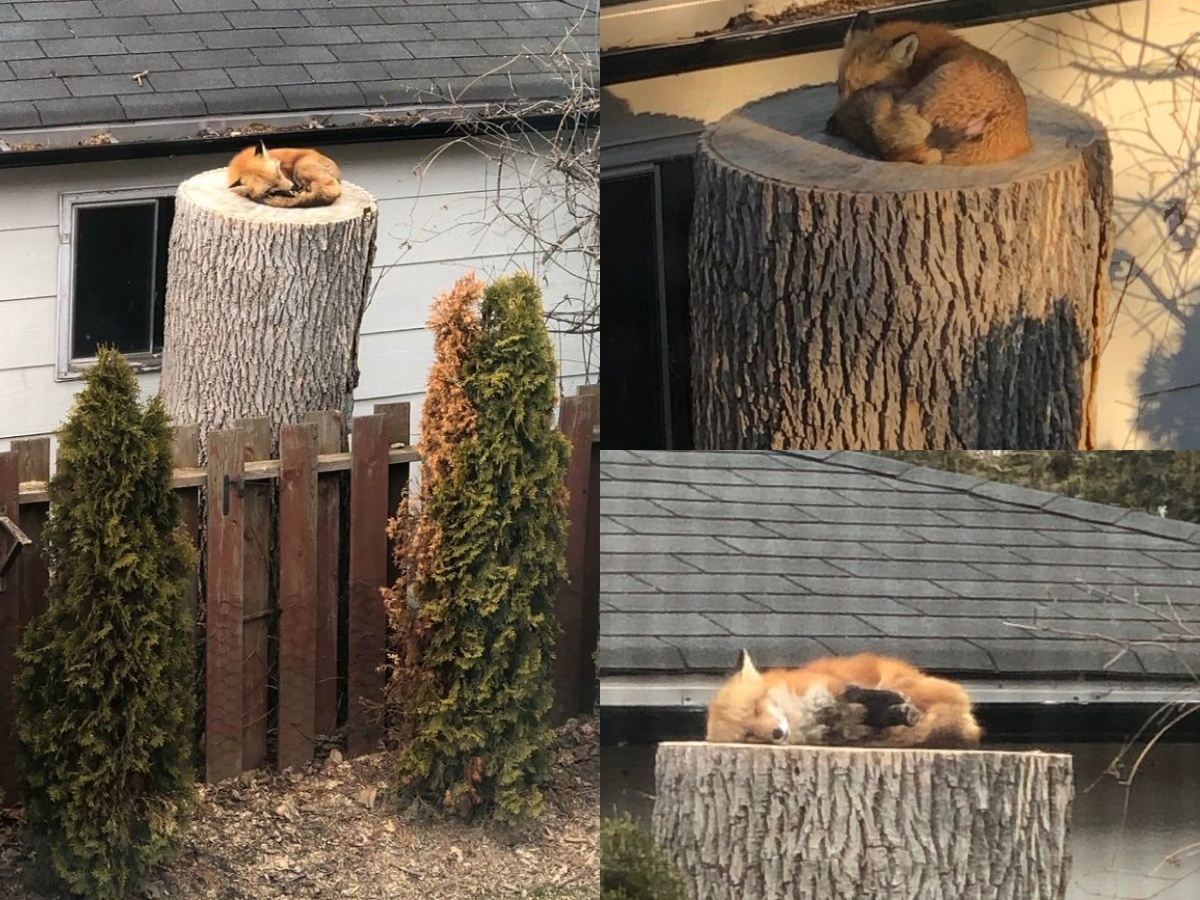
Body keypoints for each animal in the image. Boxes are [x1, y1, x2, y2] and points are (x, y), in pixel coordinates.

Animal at [705, 652, 979, 748]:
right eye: (749, 735)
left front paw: (892, 704)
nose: (776, 733)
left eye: (756, 708)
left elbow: (856, 694)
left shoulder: (830, 688)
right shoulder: (841, 727)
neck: (801, 717)